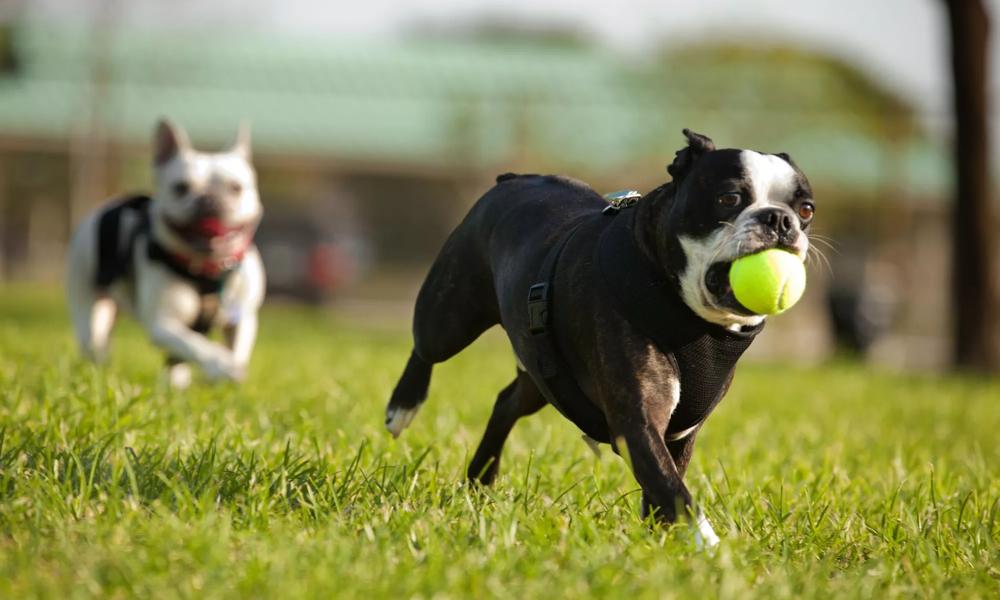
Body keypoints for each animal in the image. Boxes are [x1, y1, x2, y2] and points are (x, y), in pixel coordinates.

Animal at [68, 120, 268, 390]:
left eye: (236, 188)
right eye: (180, 188)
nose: (209, 200)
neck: (206, 270)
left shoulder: (242, 318)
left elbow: (236, 348)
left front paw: (227, 373)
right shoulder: (162, 324)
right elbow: (194, 345)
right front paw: (219, 365)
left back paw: (175, 385)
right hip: (88, 304)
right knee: (95, 342)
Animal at [386, 129, 816, 548]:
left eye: (806, 210)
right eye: (729, 199)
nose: (780, 219)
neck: (694, 321)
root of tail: (512, 179)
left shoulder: (680, 434)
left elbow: (663, 487)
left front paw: (660, 542)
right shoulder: (637, 421)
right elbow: (673, 489)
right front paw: (709, 549)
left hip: (544, 373)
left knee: (507, 401)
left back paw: (480, 479)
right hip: (452, 313)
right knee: (425, 347)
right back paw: (403, 407)